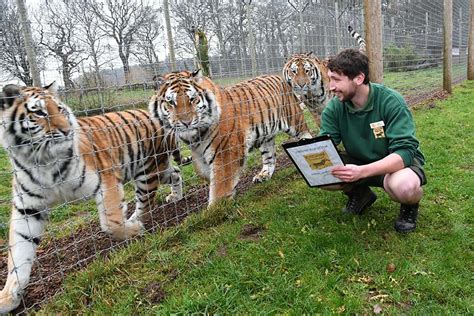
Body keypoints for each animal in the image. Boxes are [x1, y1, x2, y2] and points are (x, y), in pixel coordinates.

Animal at [0, 82, 183, 314]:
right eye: (39, 113)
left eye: (59, 109)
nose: (67, 131)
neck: (42, 161)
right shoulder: (28, 209)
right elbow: (18, 255)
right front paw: (8, 298)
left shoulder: (107, 179)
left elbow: (110, 222)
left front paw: (132, 230)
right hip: (158, 169)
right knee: (176, 172)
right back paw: (176, 196)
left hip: (148, 172)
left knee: (146, 203)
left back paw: (136, 222)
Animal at [148, 69, 312, 205]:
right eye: (170, 102)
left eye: (192, 99)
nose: (186, 122)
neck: (195, 137)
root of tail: (278, 77)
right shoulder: (198, 153)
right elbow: (205, 174)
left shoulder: (226, 152)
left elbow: (220, 185)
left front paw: (216, 209)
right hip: (266, 136)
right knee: (270, 157)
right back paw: (264, 175)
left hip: (294, 120)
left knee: (306, 133)